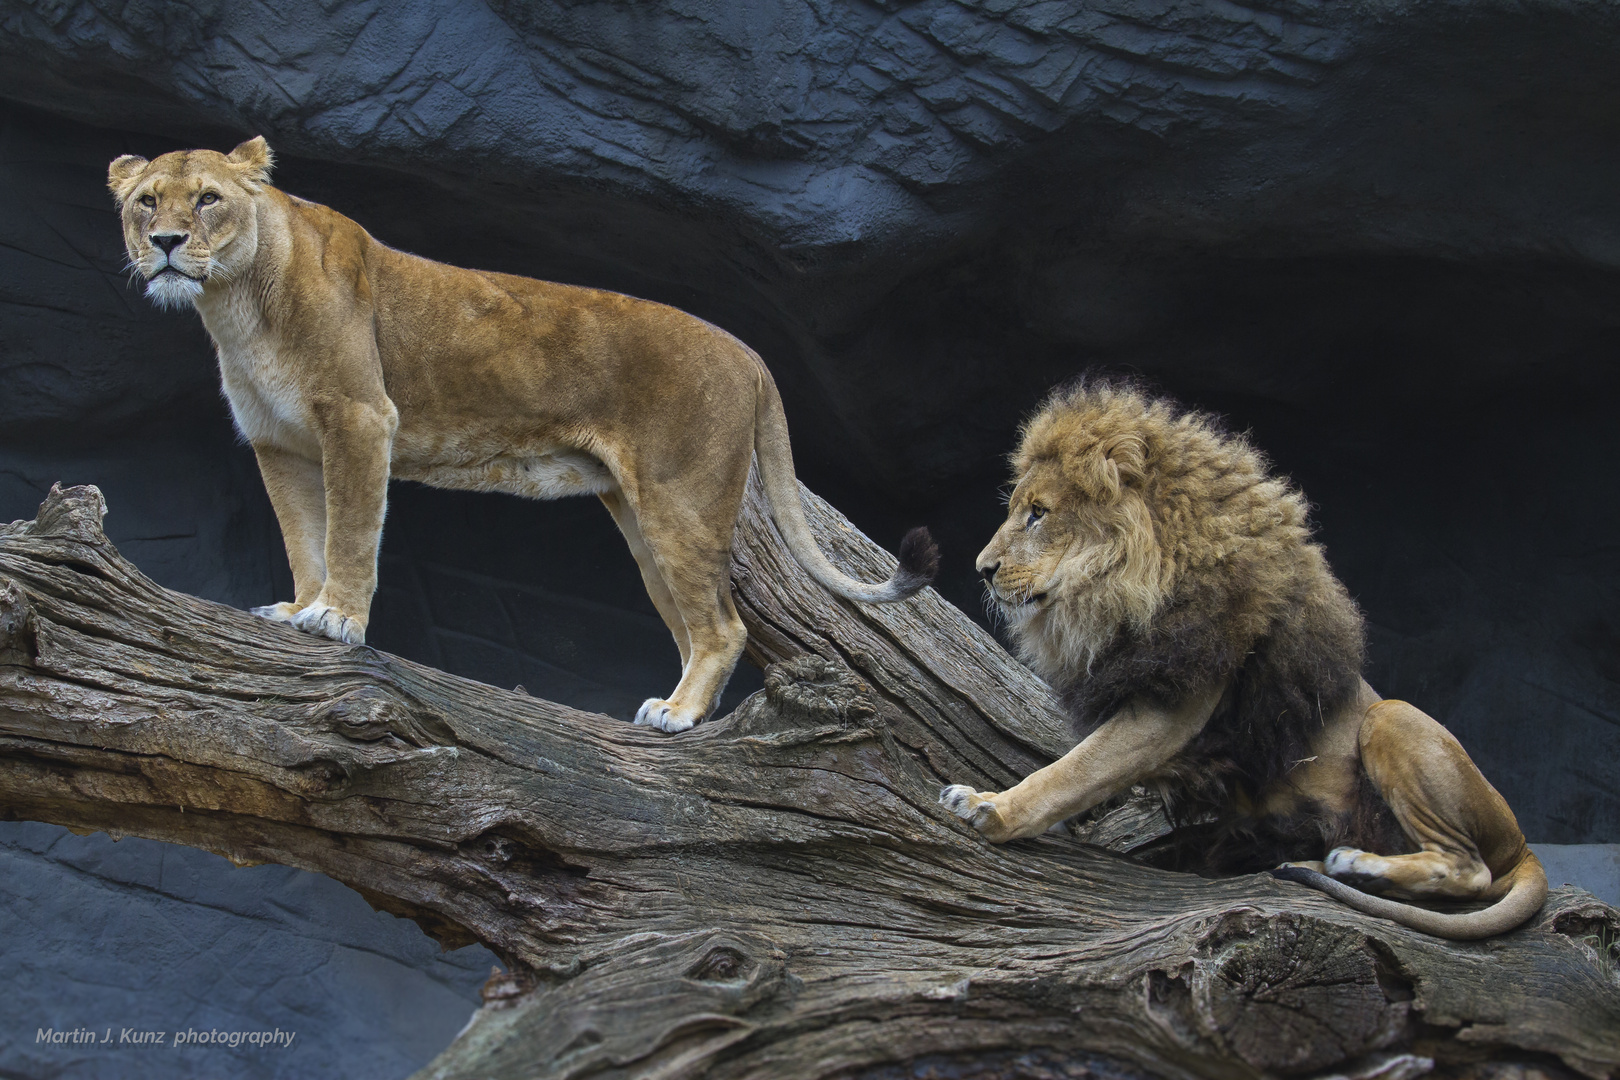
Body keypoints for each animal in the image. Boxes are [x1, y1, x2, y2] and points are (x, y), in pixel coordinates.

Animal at [110, 132, 939, 725]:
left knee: (724, 626)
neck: (237, 303)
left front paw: (336, 619)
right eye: (147, 203)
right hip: (641, 517)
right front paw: (296, 610)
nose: (166, 244)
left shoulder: (360, 417)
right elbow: (302, 537)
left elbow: (348, 530)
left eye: (208, 199)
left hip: (683, 499)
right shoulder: (278, 444)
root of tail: (750, 352)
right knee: (690, 622)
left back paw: (677, 715)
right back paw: (675, 710)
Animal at [946, 383, 1548, 939]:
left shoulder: (1175, 705)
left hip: (1391, 717)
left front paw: (990, 807)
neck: (1122, 584)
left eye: (1038, 514)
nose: (982, 569)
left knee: (1469, 869)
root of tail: (1523, 845)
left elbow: (1071, 771)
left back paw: (1357, 864)